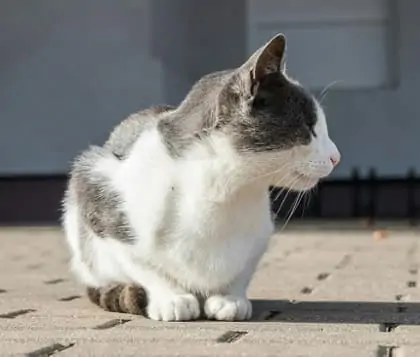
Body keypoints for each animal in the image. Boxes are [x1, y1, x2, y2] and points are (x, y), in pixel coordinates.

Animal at [62, 34, 340, 322]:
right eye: (310, 128)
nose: (336, 157)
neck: (226, 189)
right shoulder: (97, 191)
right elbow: (144, 265)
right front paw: (172, 298)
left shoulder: (261, 236)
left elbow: (242, 269)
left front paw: (230, 298)